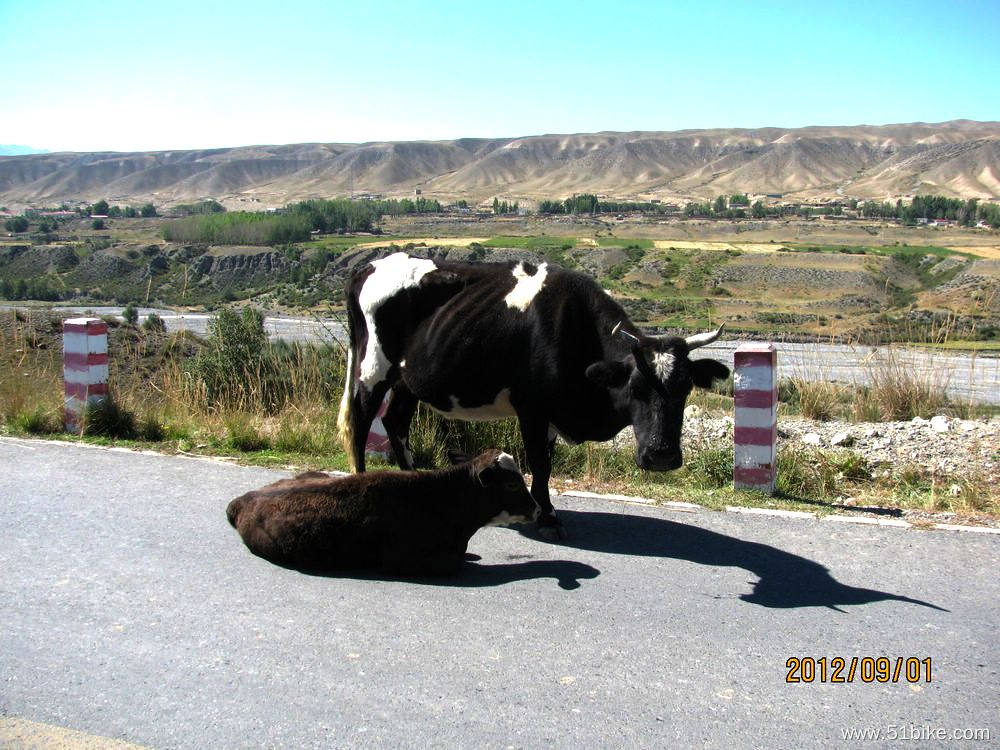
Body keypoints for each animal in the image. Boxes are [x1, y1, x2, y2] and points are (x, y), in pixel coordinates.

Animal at [336, 256, 728, 536]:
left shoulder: (553, 411)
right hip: (373, 368)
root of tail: (370, 266)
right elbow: (539, 462)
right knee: (361, 421)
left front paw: (545, 510)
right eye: (636, 388)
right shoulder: (533, 408)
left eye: (686, 388)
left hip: (407, 379)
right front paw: (549, 517)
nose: (662, 456)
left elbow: (547, 466)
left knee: (396, 422)